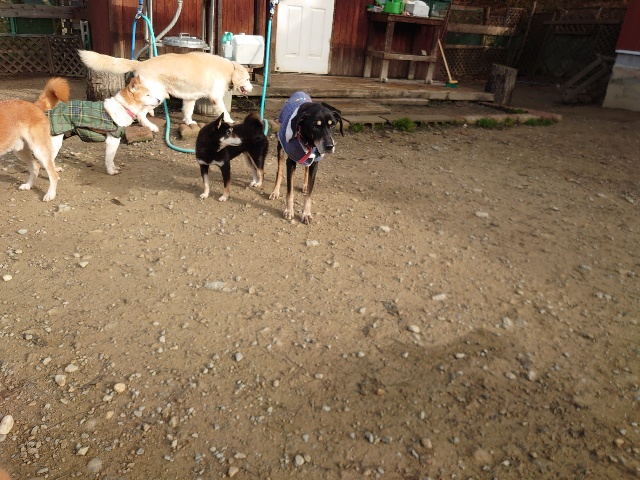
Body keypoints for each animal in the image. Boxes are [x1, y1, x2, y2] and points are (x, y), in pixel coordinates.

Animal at [78, 50, 253, 129]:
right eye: (247, 79)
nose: (251, 89)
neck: (228, 70)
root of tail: (141, 63)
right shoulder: (216, 98)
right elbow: (224, 111)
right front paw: (230, 121)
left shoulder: (190, 98)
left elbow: (188, 111)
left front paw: (188, 121)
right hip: (158, 95)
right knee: (140, 113)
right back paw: (150, 126)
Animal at [269, 91, 343, 224]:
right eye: (315, 125)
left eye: (333, 124)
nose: (330, 146)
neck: (309, 141)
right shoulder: (290, 162)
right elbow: (290, 191)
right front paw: (289, 210)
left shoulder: (315, 162)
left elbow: (309, 192)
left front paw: (306, 213)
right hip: (280, 147)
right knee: (279, 171)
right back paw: (275, 191)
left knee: (306, 168)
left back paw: (304, 184)